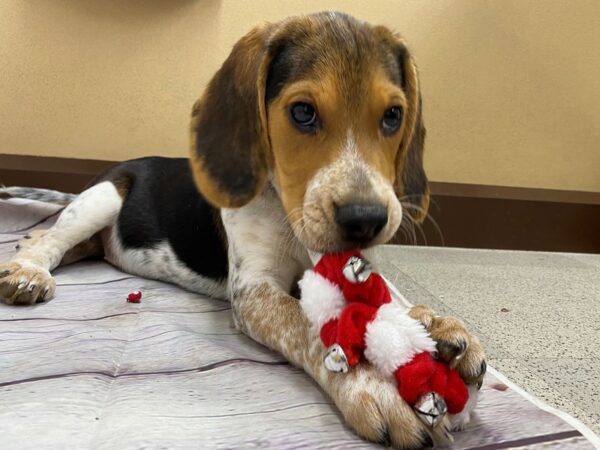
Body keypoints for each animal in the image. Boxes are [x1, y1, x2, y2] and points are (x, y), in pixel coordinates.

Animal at [0, 12, 486, 448]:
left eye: (392, 116)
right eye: (302, 112)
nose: (365, 219)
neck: (284, 213)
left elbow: (382, 300)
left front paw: (432, 322)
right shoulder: (255, 291)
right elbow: (309, 326)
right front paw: (374, 388)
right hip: (104, 198)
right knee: (53, 238)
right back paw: (28, 271)